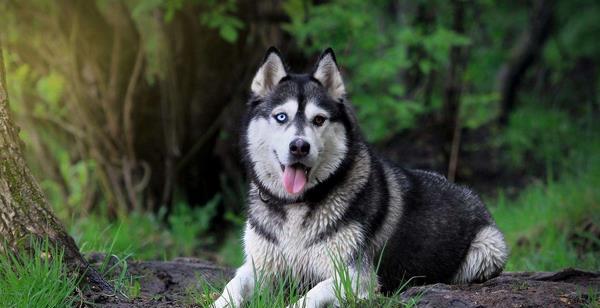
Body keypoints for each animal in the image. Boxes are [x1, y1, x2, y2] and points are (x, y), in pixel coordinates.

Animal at [214, 47, 506, 308]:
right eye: (281, 117)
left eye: (318, 120)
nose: (299, 146)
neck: (296, 205)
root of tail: (468, 191)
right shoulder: (259, 267)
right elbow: (230, 288)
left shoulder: (355, 276)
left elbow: (306, 298)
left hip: (488, 249)